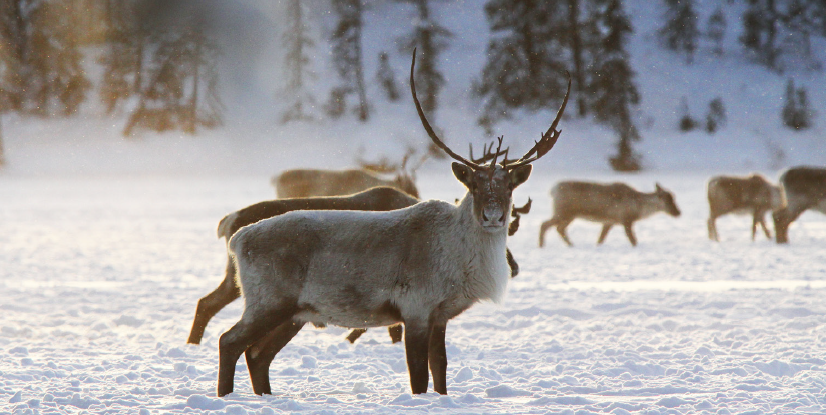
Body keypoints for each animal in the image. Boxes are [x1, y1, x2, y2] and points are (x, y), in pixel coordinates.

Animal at [536, 181, 680, 247]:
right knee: (545, 224)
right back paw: (542, 245)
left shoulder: (609, 222)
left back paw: (571, 245)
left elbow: (601, 239)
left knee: (559, 228)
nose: (678, 213)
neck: (639, 208)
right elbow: (633, 240)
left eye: (673, 198)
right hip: (564, 213)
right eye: (668, 201)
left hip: (569, 216)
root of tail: (552, 190)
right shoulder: (626, 220)